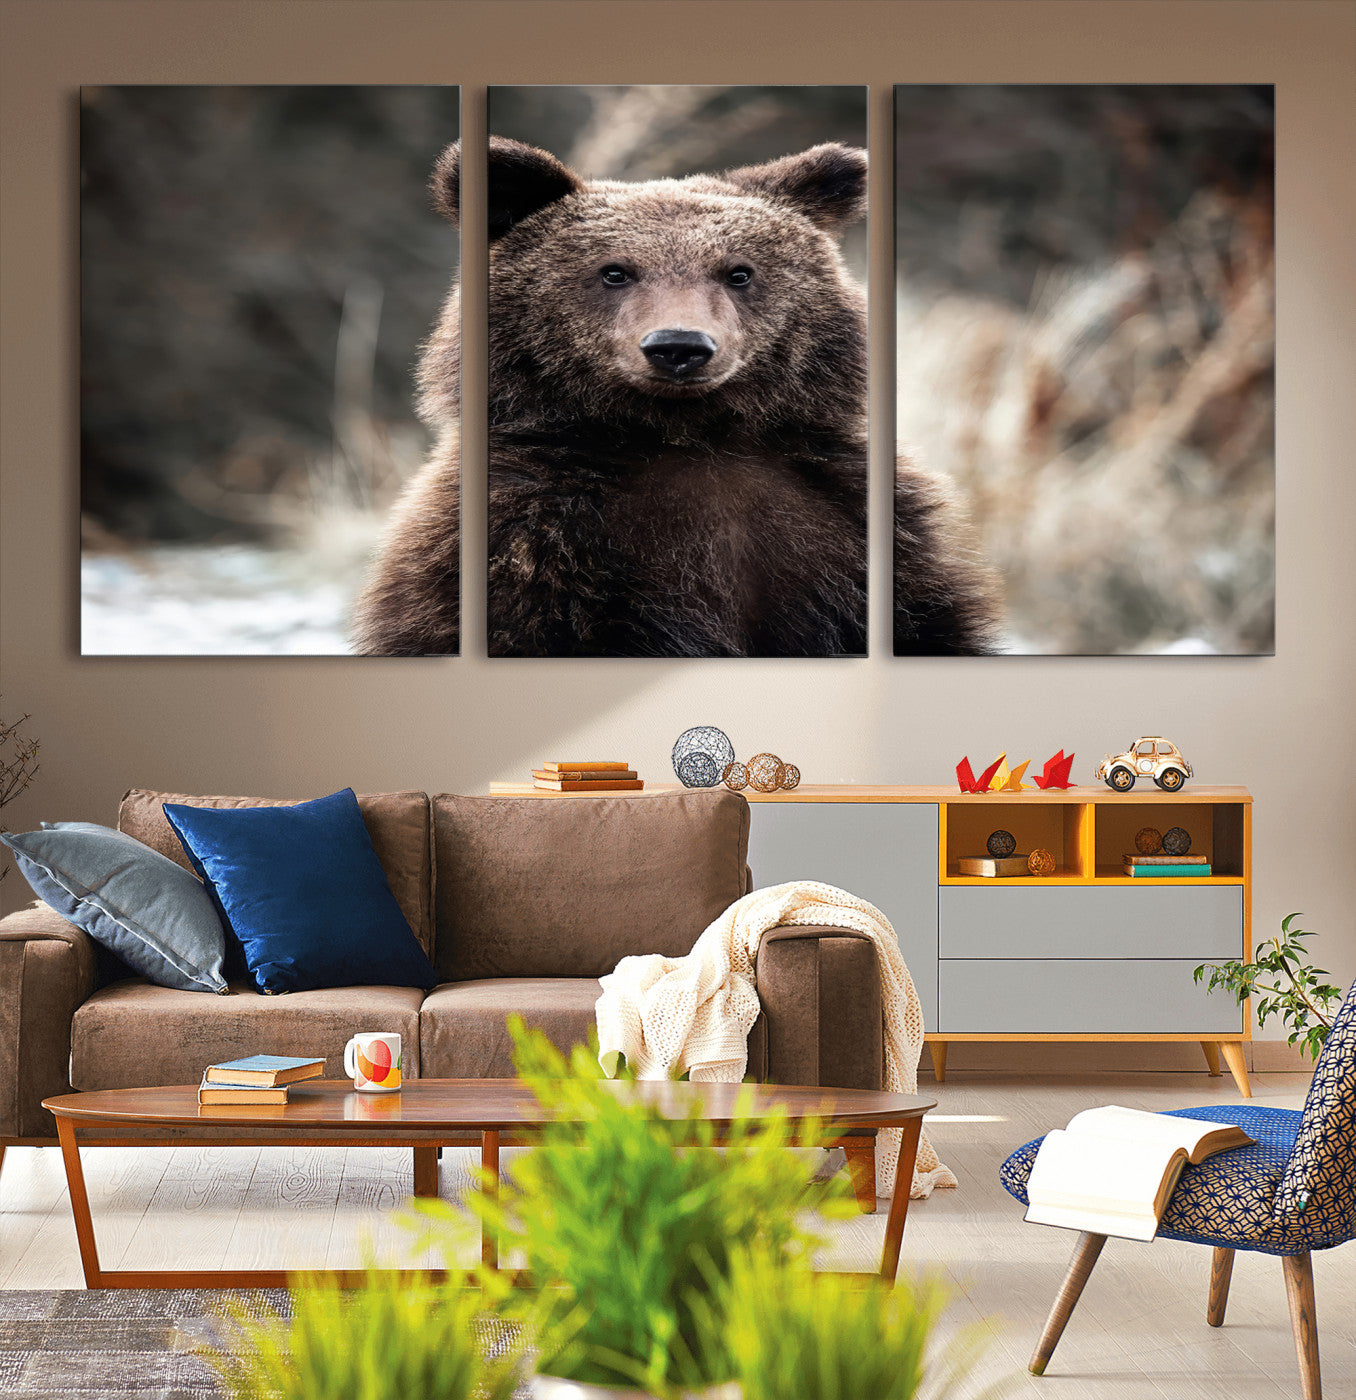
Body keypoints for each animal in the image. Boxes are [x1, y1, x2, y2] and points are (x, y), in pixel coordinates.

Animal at [351, 136, 998, 657]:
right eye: (614, 271)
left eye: (739, 271)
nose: (679, 346)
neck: (686, 435)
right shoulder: (529, 541)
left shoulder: (853, 525)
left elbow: (926, 624)